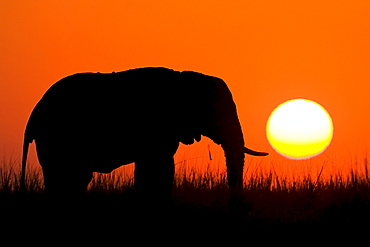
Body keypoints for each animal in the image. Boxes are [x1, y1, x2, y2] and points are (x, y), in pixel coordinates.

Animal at [20, 66, 268, 200]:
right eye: (215, 111)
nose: (234, 201)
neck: (183, 78)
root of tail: (33, 116)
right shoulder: (157, 125)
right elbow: (158, 166)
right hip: (55, 136)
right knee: (64, 175)